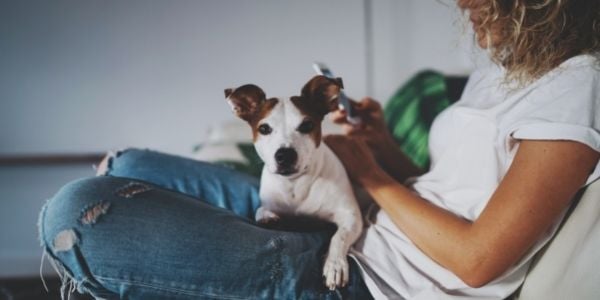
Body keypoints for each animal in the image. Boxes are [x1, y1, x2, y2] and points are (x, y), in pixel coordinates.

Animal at [225, 75, 364, 290]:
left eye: (306, 125)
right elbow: (260, 210)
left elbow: (338, 237)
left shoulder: (351, 217)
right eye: (264, 129)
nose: (285, 155)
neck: (295, 184)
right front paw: (267, 216)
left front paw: (334, 265)